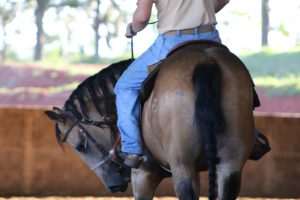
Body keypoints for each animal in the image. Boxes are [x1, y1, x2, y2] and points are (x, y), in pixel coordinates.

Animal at [45, 41, 254, 199]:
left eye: (80, 146)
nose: (113, 186)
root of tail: (205, 61)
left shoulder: (143, 174)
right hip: (229, 165)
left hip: (183, 166)